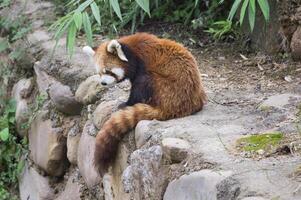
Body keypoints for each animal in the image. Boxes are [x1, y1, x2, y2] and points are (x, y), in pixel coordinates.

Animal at [82, 32, 206, 175]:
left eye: (108, 71)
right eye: (99, 73)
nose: (103, 83)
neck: (133, 52)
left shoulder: (142, 65)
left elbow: (138, 87)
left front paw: (126, 103)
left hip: (165, 87)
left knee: (146, 80)